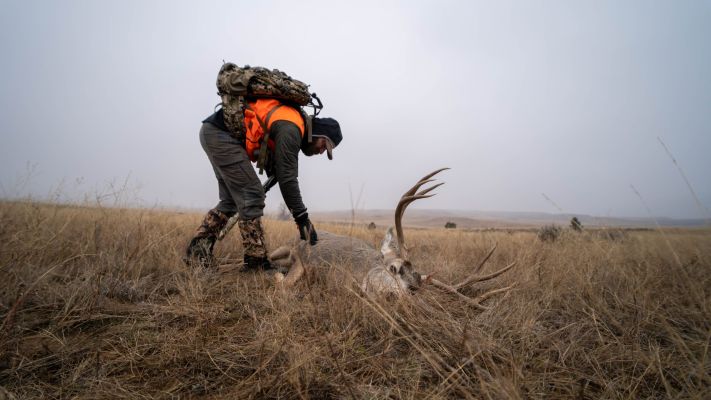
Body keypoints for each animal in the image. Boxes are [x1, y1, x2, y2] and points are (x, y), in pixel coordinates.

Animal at [267, 168, 516, 309]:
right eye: (394, 267)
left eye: (415, 290)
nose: (391, 296)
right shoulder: (305, 260)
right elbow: (282, 285)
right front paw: (278, 277)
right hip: (285, 247)